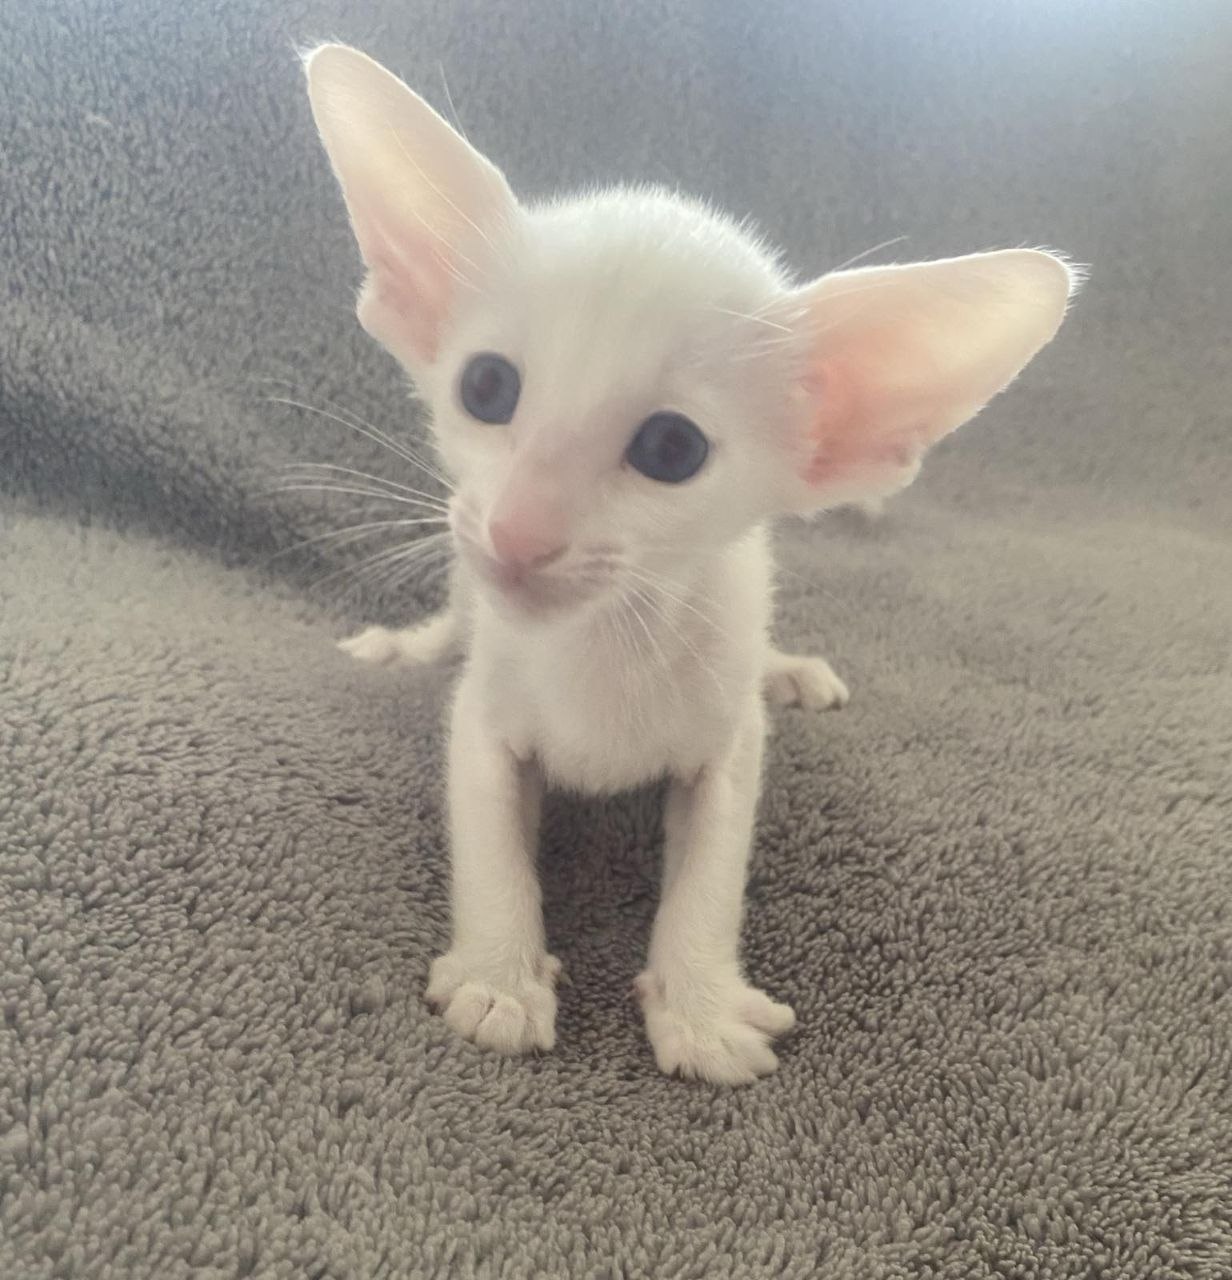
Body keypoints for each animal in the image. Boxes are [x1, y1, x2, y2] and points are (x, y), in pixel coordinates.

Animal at [304, 44, 1075, 1084]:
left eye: (671, 449)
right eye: (486, 387)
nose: (518, 534)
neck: (600, 645)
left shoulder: (727, 741)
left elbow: (713, 867)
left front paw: (700, 1004)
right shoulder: (485, 718)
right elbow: (489, 835)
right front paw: (500, 976)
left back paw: (789, 668)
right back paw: (410, 644)